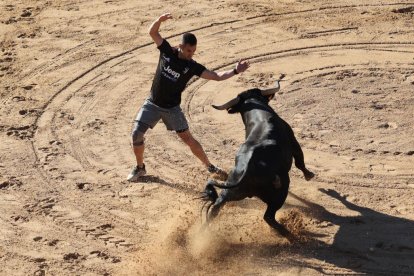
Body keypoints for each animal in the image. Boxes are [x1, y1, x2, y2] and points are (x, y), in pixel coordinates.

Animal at [201, 85, 314, 235]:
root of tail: (245, 171)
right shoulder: (294, 142)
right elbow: (300, 161)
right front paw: (309, 175)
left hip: (231, 192)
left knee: (216, 207)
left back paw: (202, 232)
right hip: (280, 192)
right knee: (268, 217)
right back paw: (287, 232)